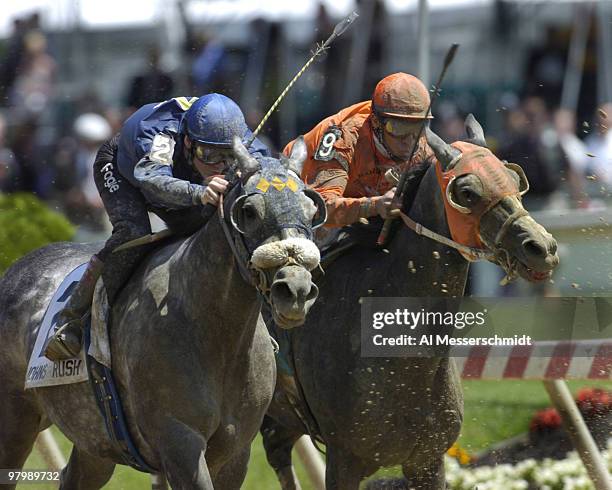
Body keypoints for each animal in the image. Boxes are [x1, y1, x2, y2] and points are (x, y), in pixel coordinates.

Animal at [0, 136, 326, 488]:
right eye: (249, 211)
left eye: (312, 211)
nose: (295, 289)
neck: (215, 333)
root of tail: (15, 267)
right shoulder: (179, 441)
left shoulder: (235, 451)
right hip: (15, 420)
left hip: (95, 442)